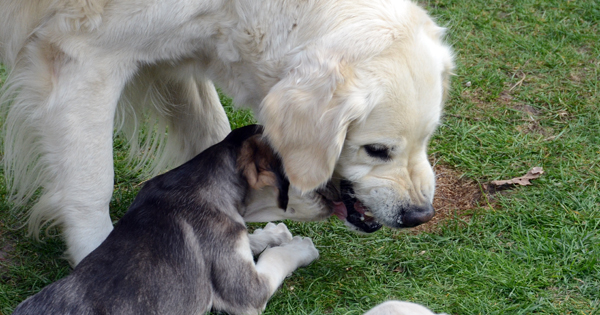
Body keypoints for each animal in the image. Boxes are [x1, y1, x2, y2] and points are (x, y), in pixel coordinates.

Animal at [0, 0, 450, 266]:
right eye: (376, 150)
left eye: (427, 139)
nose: (419, 216)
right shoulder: (82, 58)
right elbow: (91, 188)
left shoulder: (171, 55)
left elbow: (214, 140)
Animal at [12, 125, 318, 315]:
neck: (199, 182)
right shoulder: (245, 290)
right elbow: (276, 258)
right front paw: (299, 247)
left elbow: (250, 238)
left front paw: (273, 234)